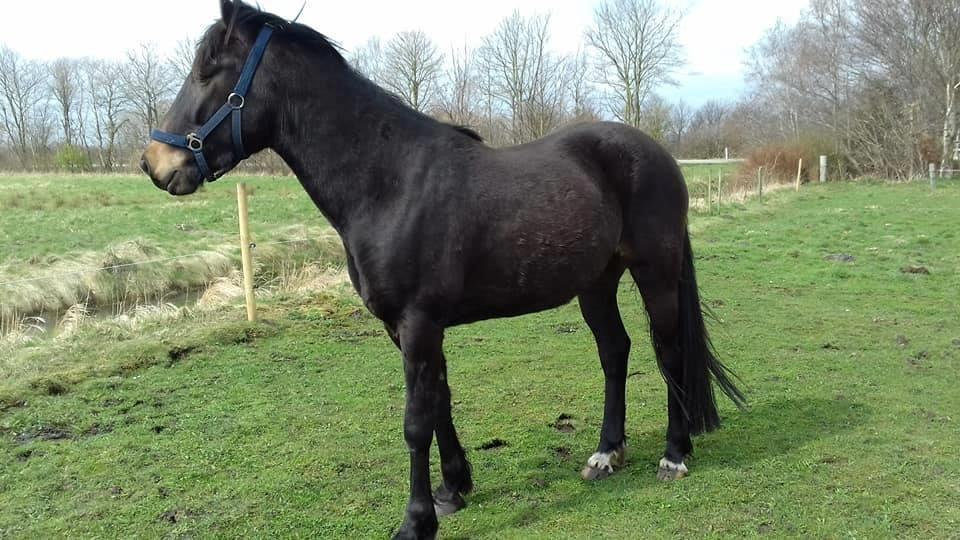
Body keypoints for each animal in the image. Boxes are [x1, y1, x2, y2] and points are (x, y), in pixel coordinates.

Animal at [140, 2, 745, 538]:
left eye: (207, 71)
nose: (155, 163)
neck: (389, 182)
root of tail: (657, 154)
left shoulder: (419, 323)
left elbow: (415, 420)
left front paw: (416, 521)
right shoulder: (406, 328)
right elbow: (440, 402)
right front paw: (453, 489)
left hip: (655, 273)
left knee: (667, 351)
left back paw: (674, 455)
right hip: (596, 282)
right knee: (614, 352)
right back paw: (605, 453)